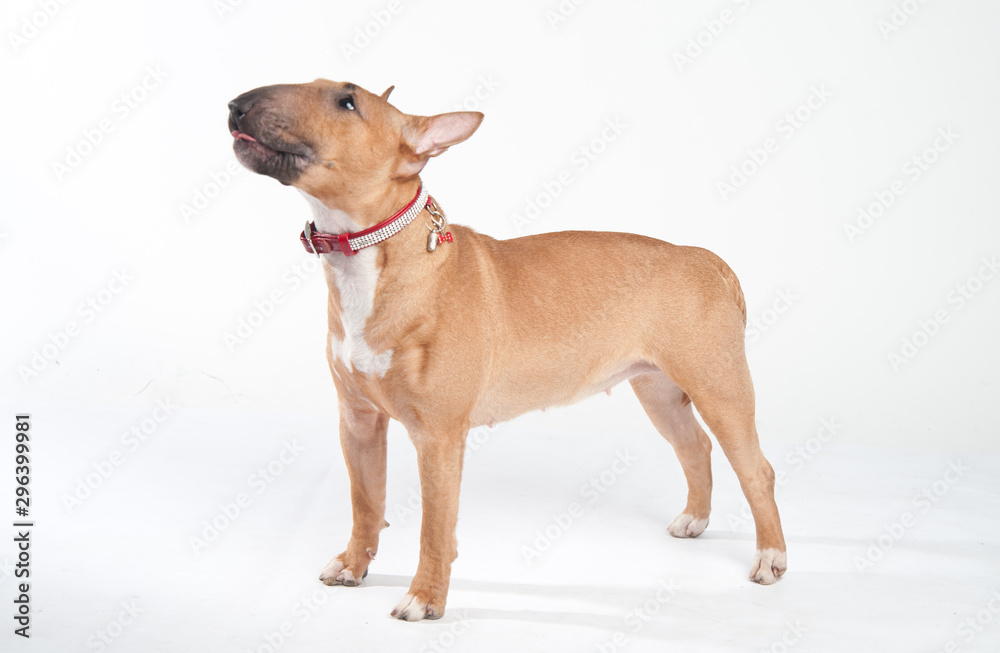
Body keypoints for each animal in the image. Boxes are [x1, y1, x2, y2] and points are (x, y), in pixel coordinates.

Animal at [230, 79, 784, 620]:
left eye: (347, 102)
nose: (236, 104)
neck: (370, 254)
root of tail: (706, 258)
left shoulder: (438, 437)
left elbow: (435, 528)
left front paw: (425, 598)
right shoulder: (359, 422)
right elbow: (365, 502)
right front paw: (353, 565)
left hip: (720, 390)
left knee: (756, 469)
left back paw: (770, 557)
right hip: (659, 393)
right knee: (695, 447)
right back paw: (695, 519)